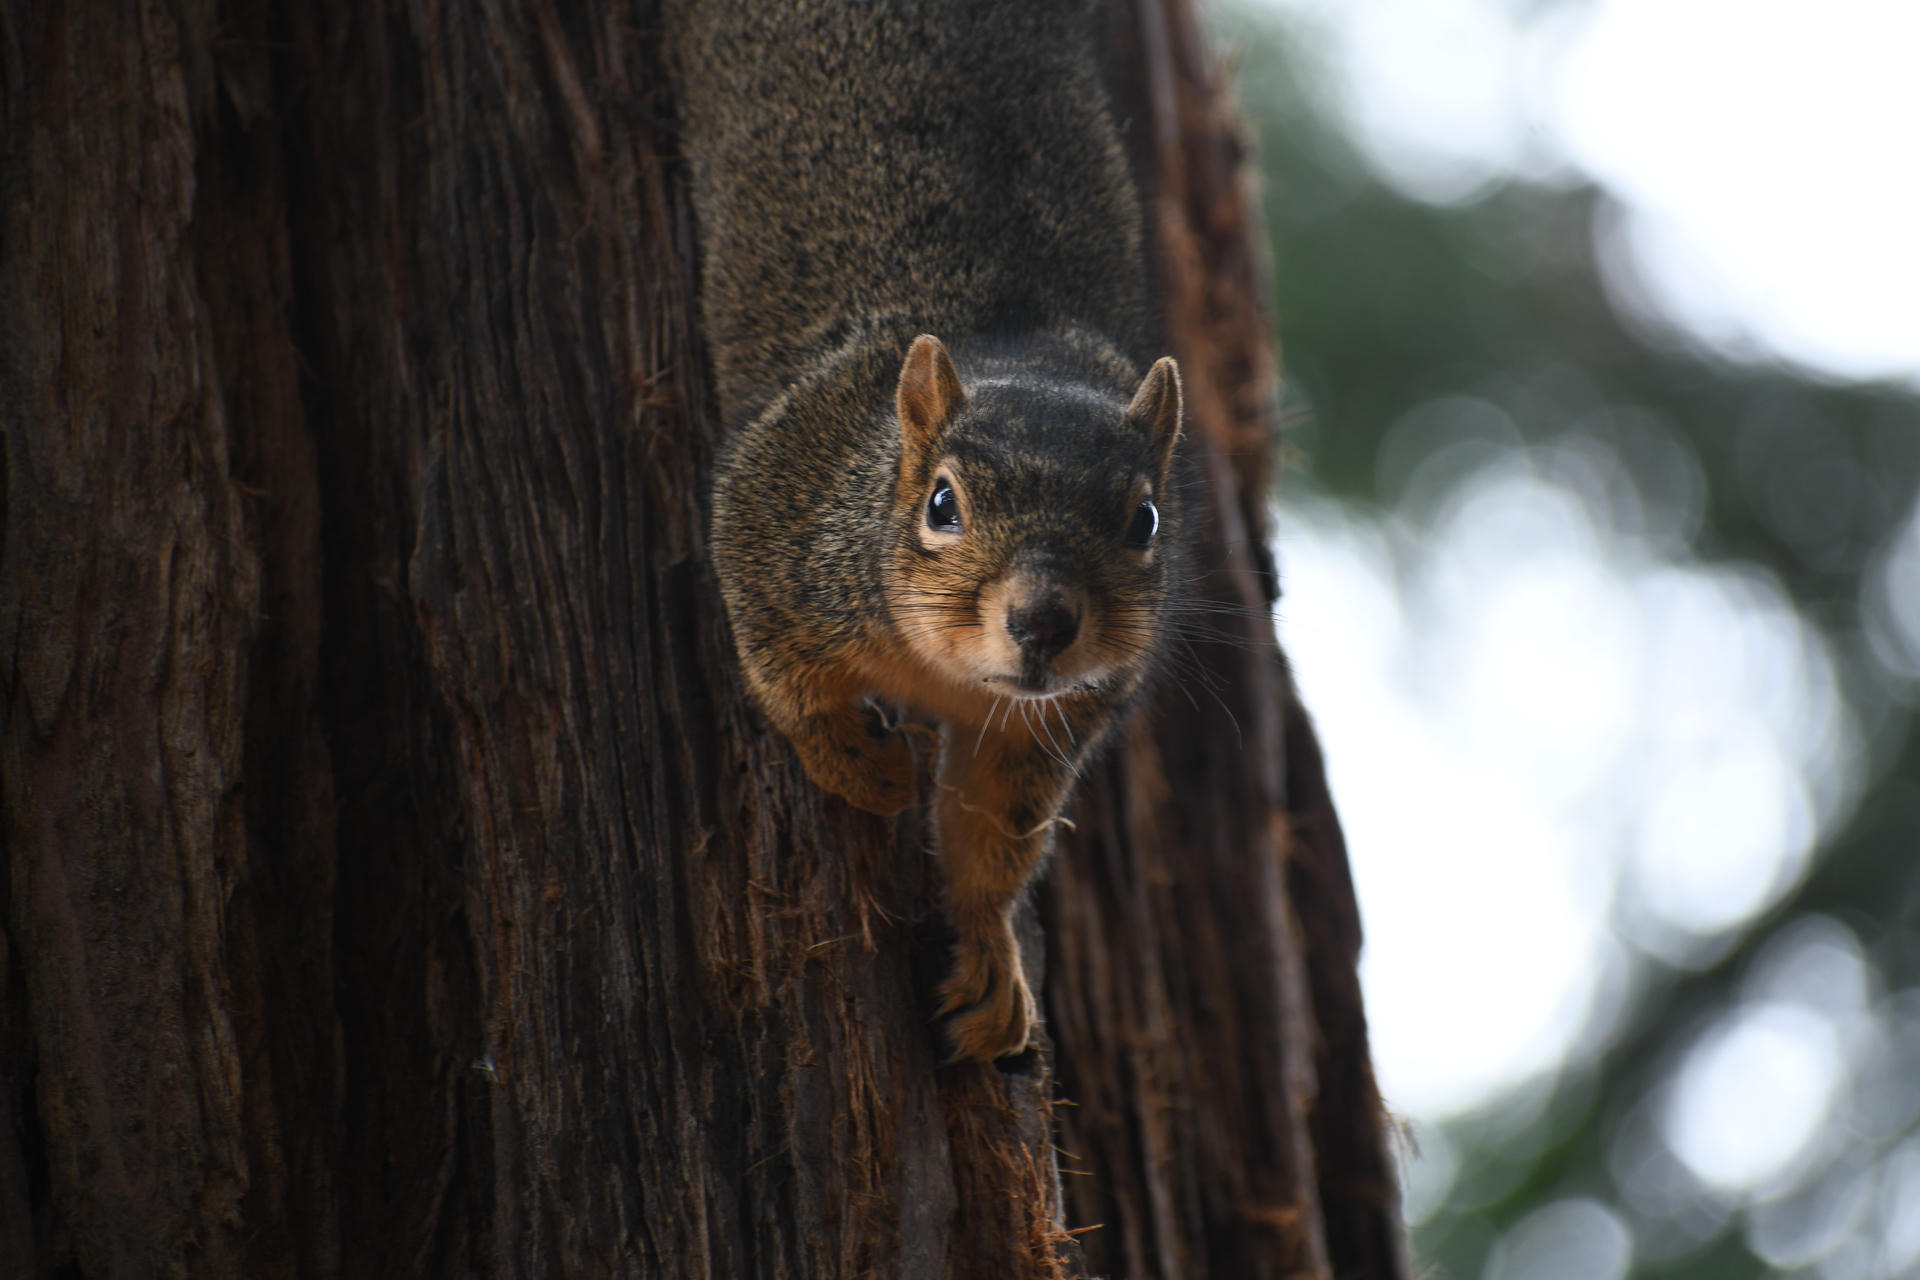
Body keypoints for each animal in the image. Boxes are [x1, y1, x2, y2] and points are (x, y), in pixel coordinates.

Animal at [667, 0, 1183, 1063]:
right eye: (941, 505)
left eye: (1146, 519)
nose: (1042, 622)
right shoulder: (775, 508)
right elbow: (783, 682)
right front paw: (861, 769)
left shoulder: (1045, 724)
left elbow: (996, 834)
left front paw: (990, 958)